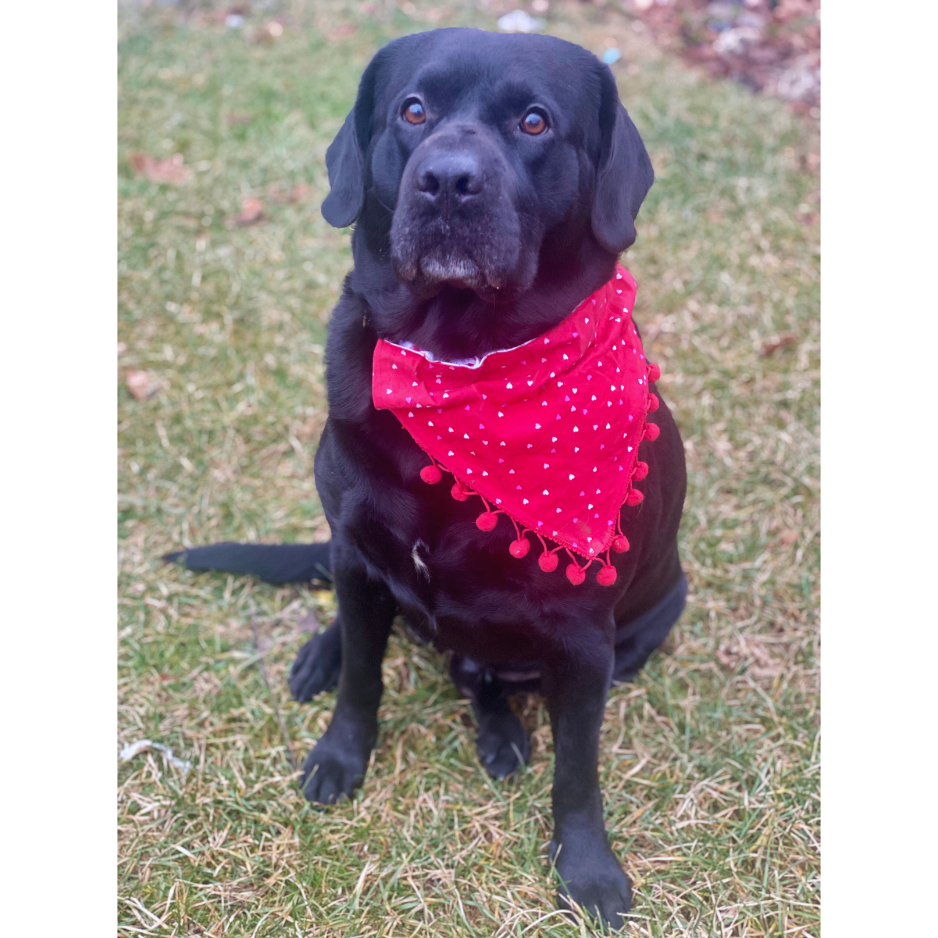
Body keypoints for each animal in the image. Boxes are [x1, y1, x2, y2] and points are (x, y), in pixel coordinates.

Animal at [166, 29, 680, 928]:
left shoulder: (585, 640)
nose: (446, 180)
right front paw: (341, 755)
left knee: (477, 671)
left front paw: (588, 870)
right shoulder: (358, 552)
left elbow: (577, 771)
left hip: (651, 622)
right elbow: (362, 681)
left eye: (535, 121)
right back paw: (325, 653)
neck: (457, 370)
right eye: (412, 111)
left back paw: (501, 731)